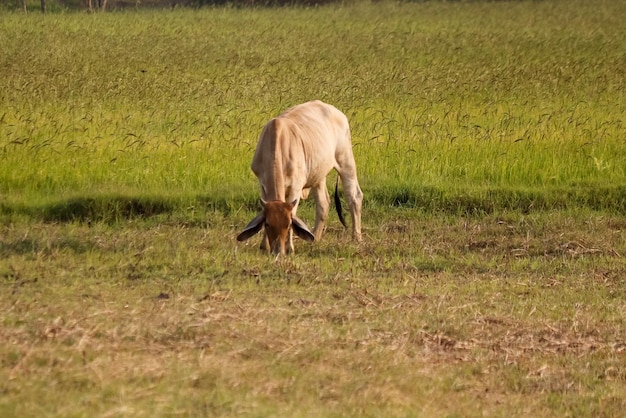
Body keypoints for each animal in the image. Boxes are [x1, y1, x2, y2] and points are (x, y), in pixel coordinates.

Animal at [234, 100, 360, 255]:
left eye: (289, 225)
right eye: (267, 224)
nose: (278, 250)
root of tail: (336, 112)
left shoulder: (296, 187)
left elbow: (293, 211)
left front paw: (290, 248)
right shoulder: (262, 184)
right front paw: (264, 246)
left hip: (346, 161)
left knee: (354, 197)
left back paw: (356, 238)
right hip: (319, 174)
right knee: (323, 203)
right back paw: (315, 238)